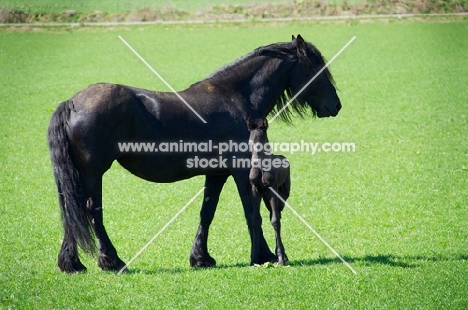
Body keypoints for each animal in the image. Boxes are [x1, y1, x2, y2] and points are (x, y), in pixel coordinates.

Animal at [47, 34, 340, 274]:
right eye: (317, 68)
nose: (336, 105)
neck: (235, 97)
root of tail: (71, 103)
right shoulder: (242, 171)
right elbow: (251, 213)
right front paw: (262, 256)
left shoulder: (217, 174)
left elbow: (207, 212)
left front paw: (201, 258)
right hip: (93, 174)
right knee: (91, 212)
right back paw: (112, 261)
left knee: (71, 211)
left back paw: (72, 264)